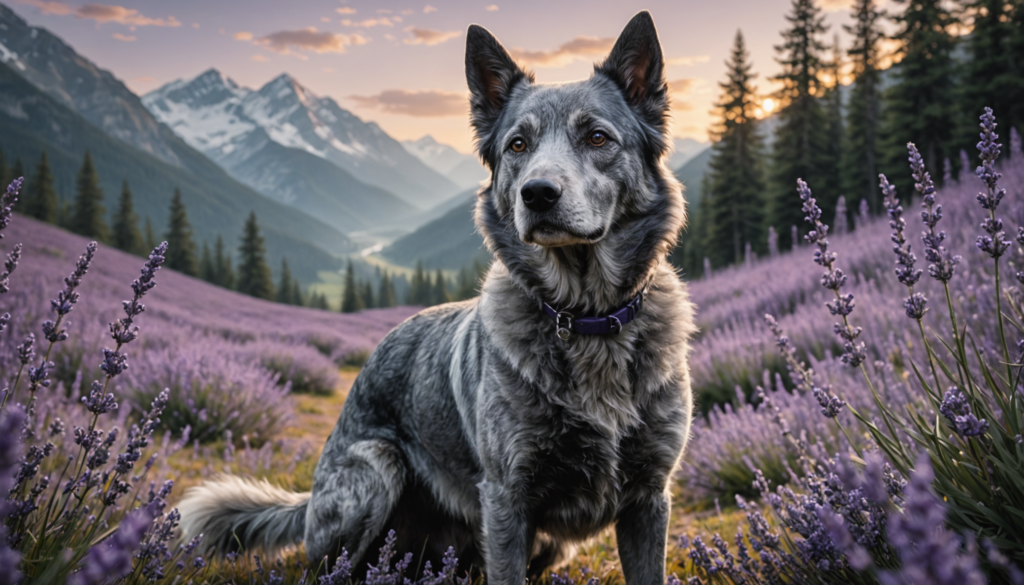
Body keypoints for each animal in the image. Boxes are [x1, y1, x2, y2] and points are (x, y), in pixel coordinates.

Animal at [182, 10, 696, 585]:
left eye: (598, 137)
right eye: (518, 145)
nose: (537, 194)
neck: (584, 315)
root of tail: (311, 500)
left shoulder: (649, 499)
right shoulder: (506, 498)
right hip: (374, 471)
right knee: (334, 564)